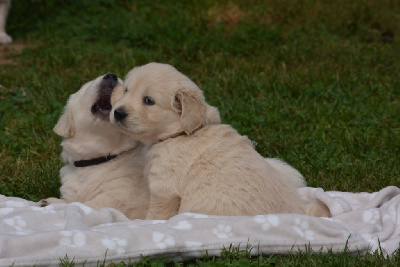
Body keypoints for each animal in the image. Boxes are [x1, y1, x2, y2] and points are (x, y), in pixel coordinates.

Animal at [39, 73, 149, 220]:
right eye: (88, 85)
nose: (111, 75)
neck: (98, 159)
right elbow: (72, 201)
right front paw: (48, 202)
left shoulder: (120, 194)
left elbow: (83, 205)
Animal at [110, 62, 328, 220]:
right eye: (126, 90)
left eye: (148, 101)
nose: (117, 113)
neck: (182, 132)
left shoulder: (164, 190)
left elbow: (156, 216)